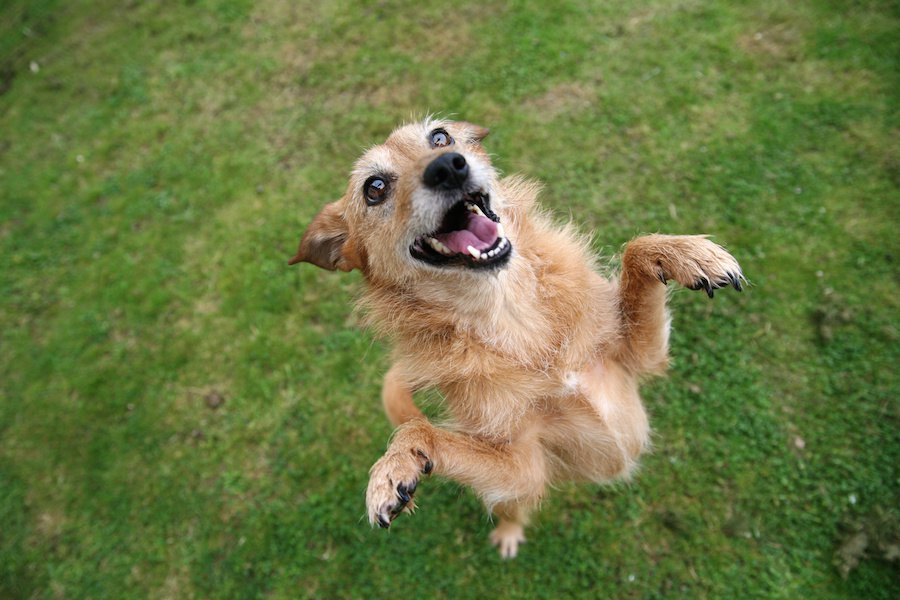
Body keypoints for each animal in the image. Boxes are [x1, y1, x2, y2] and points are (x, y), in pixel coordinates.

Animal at [290, 117, 744, 556]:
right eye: (375, 188)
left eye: (440, 137)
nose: (448, 166)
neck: (511, 314)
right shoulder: (523, 467)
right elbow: (420, 430)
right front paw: (396, 464)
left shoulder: (636, 360)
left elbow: (635, 250)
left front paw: (687, 254)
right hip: (515, 494)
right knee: (512, 509)